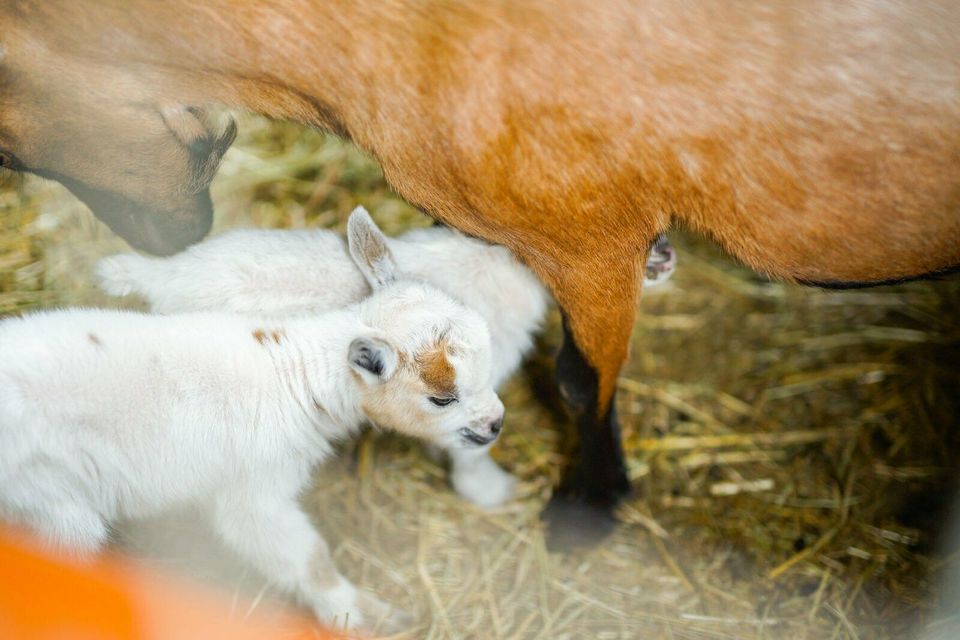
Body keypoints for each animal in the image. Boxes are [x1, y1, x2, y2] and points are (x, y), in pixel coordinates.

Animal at [0, 212, 506, 632]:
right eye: (442, 398)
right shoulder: (255, 491)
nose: (497, 423)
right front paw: (365, 614)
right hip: (55, 507)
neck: (295, 377)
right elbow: (307, 558)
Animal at [1, 0, 960, 536]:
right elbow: (576, 384)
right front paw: (582, 513)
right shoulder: (588, 241)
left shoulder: (586, 234)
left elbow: (580, 378)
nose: (170, 230)